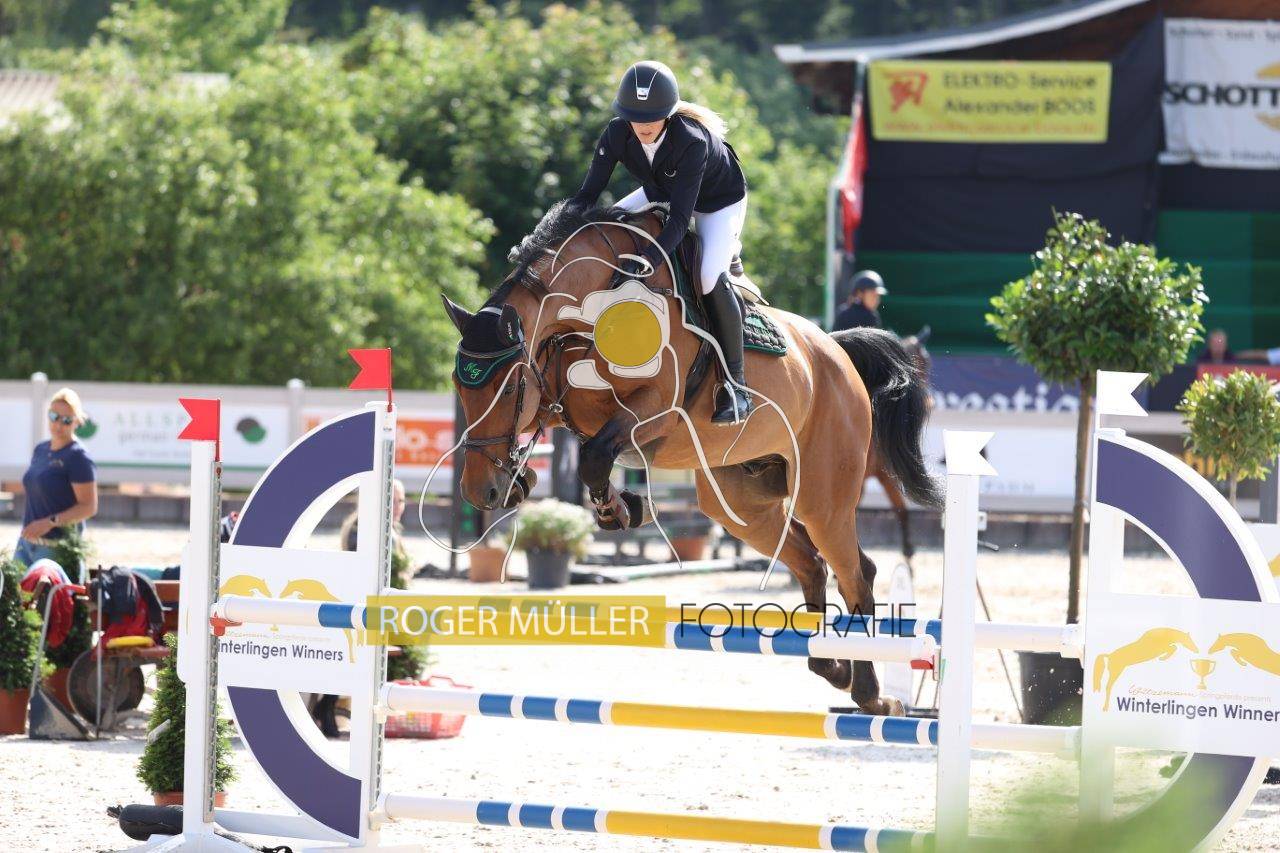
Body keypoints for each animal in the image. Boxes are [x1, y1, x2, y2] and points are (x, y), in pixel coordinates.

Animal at [442, 201, 941, 716]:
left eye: (508, 388)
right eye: (459, 385)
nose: (480, 491)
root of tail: (836, 352)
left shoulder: (657, 407)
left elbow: (595, 455)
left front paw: (622, 509)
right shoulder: (564, 396)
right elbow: (577, 441)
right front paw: (530, 482)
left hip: (821, 498)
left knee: (855, 574)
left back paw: (872, 694)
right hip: (740, 504)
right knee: (812, 564)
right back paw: (834, 667)